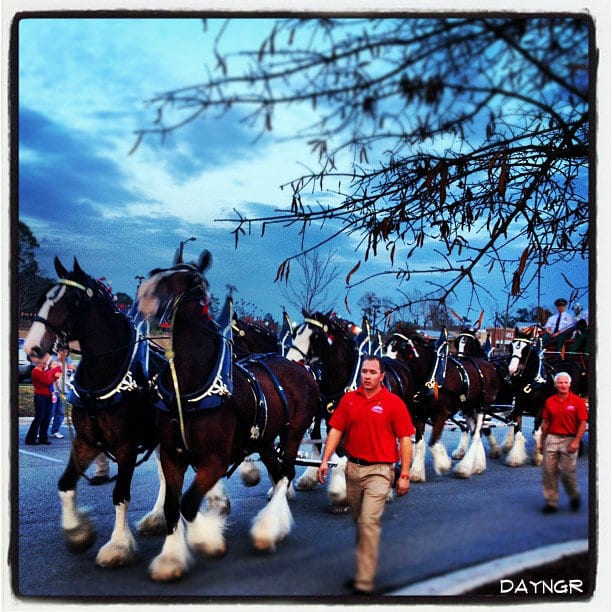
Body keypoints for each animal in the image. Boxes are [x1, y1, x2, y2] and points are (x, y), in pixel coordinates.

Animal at [23, 256, 160, 564]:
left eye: (73, 301)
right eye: (42, 297)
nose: (33, 348)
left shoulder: (126, 445)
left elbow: (120, 494)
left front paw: (118, 546)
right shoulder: (86, 441)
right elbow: (65, 484)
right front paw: (78, 531)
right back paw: (158, 517)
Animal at [136, 251, 318, 580]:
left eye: (187, 279)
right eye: (159, 270)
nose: (144, 294)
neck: (192, 385)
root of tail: (302, 369)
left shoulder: (215, 460)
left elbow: (189, 504)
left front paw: (208, 541)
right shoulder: (171, 455)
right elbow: (172, 506)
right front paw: (171, 559)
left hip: (293, 432)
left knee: (286, 472)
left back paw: (268, 529)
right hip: (264, 440)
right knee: (277, 472)